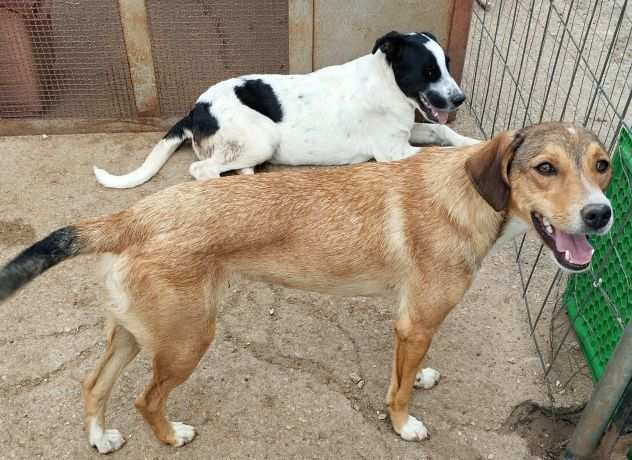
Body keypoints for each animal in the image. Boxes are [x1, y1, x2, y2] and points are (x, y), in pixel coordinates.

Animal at [0, 121, 612, 452]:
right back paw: (171, 436)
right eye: (544, 168)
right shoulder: (416, 321)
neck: (469, 195)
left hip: (134, 333)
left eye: (603, 165)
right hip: (187, 340)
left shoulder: (409, 322)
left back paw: (100, 438)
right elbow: (398, 392)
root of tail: (132, 215)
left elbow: (406, 371)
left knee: (93, 385)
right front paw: (404, 425)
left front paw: (420, 377)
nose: (602, 214)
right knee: (144, 397)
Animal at [94, 31, 478, 189]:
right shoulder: (392, 151)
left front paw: (472, 142)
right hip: (262, 137)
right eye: (427, 72)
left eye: (446, 65)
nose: (460, 99)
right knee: (202, 170)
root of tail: (196, 109)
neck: (387, 83)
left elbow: (443, 129)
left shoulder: (408, 131)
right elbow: (434, 155)